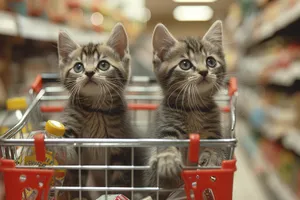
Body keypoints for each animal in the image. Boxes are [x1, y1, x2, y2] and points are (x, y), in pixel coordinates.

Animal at [57, 23, 138, 200]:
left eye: (103, 65)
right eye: (78, 67)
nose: (89, 72)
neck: (96, 109)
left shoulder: (121, 146)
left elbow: (120, 181)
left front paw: (118, 195)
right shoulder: (72, 122)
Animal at [145, 20, 227, 198]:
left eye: (211, 61)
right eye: (185, 64)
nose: (204, 71)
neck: (193, 107)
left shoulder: (215, 131)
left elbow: (215, 146)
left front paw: (211, 158)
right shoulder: (166, 125)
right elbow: (166, 143)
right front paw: (168, 160)